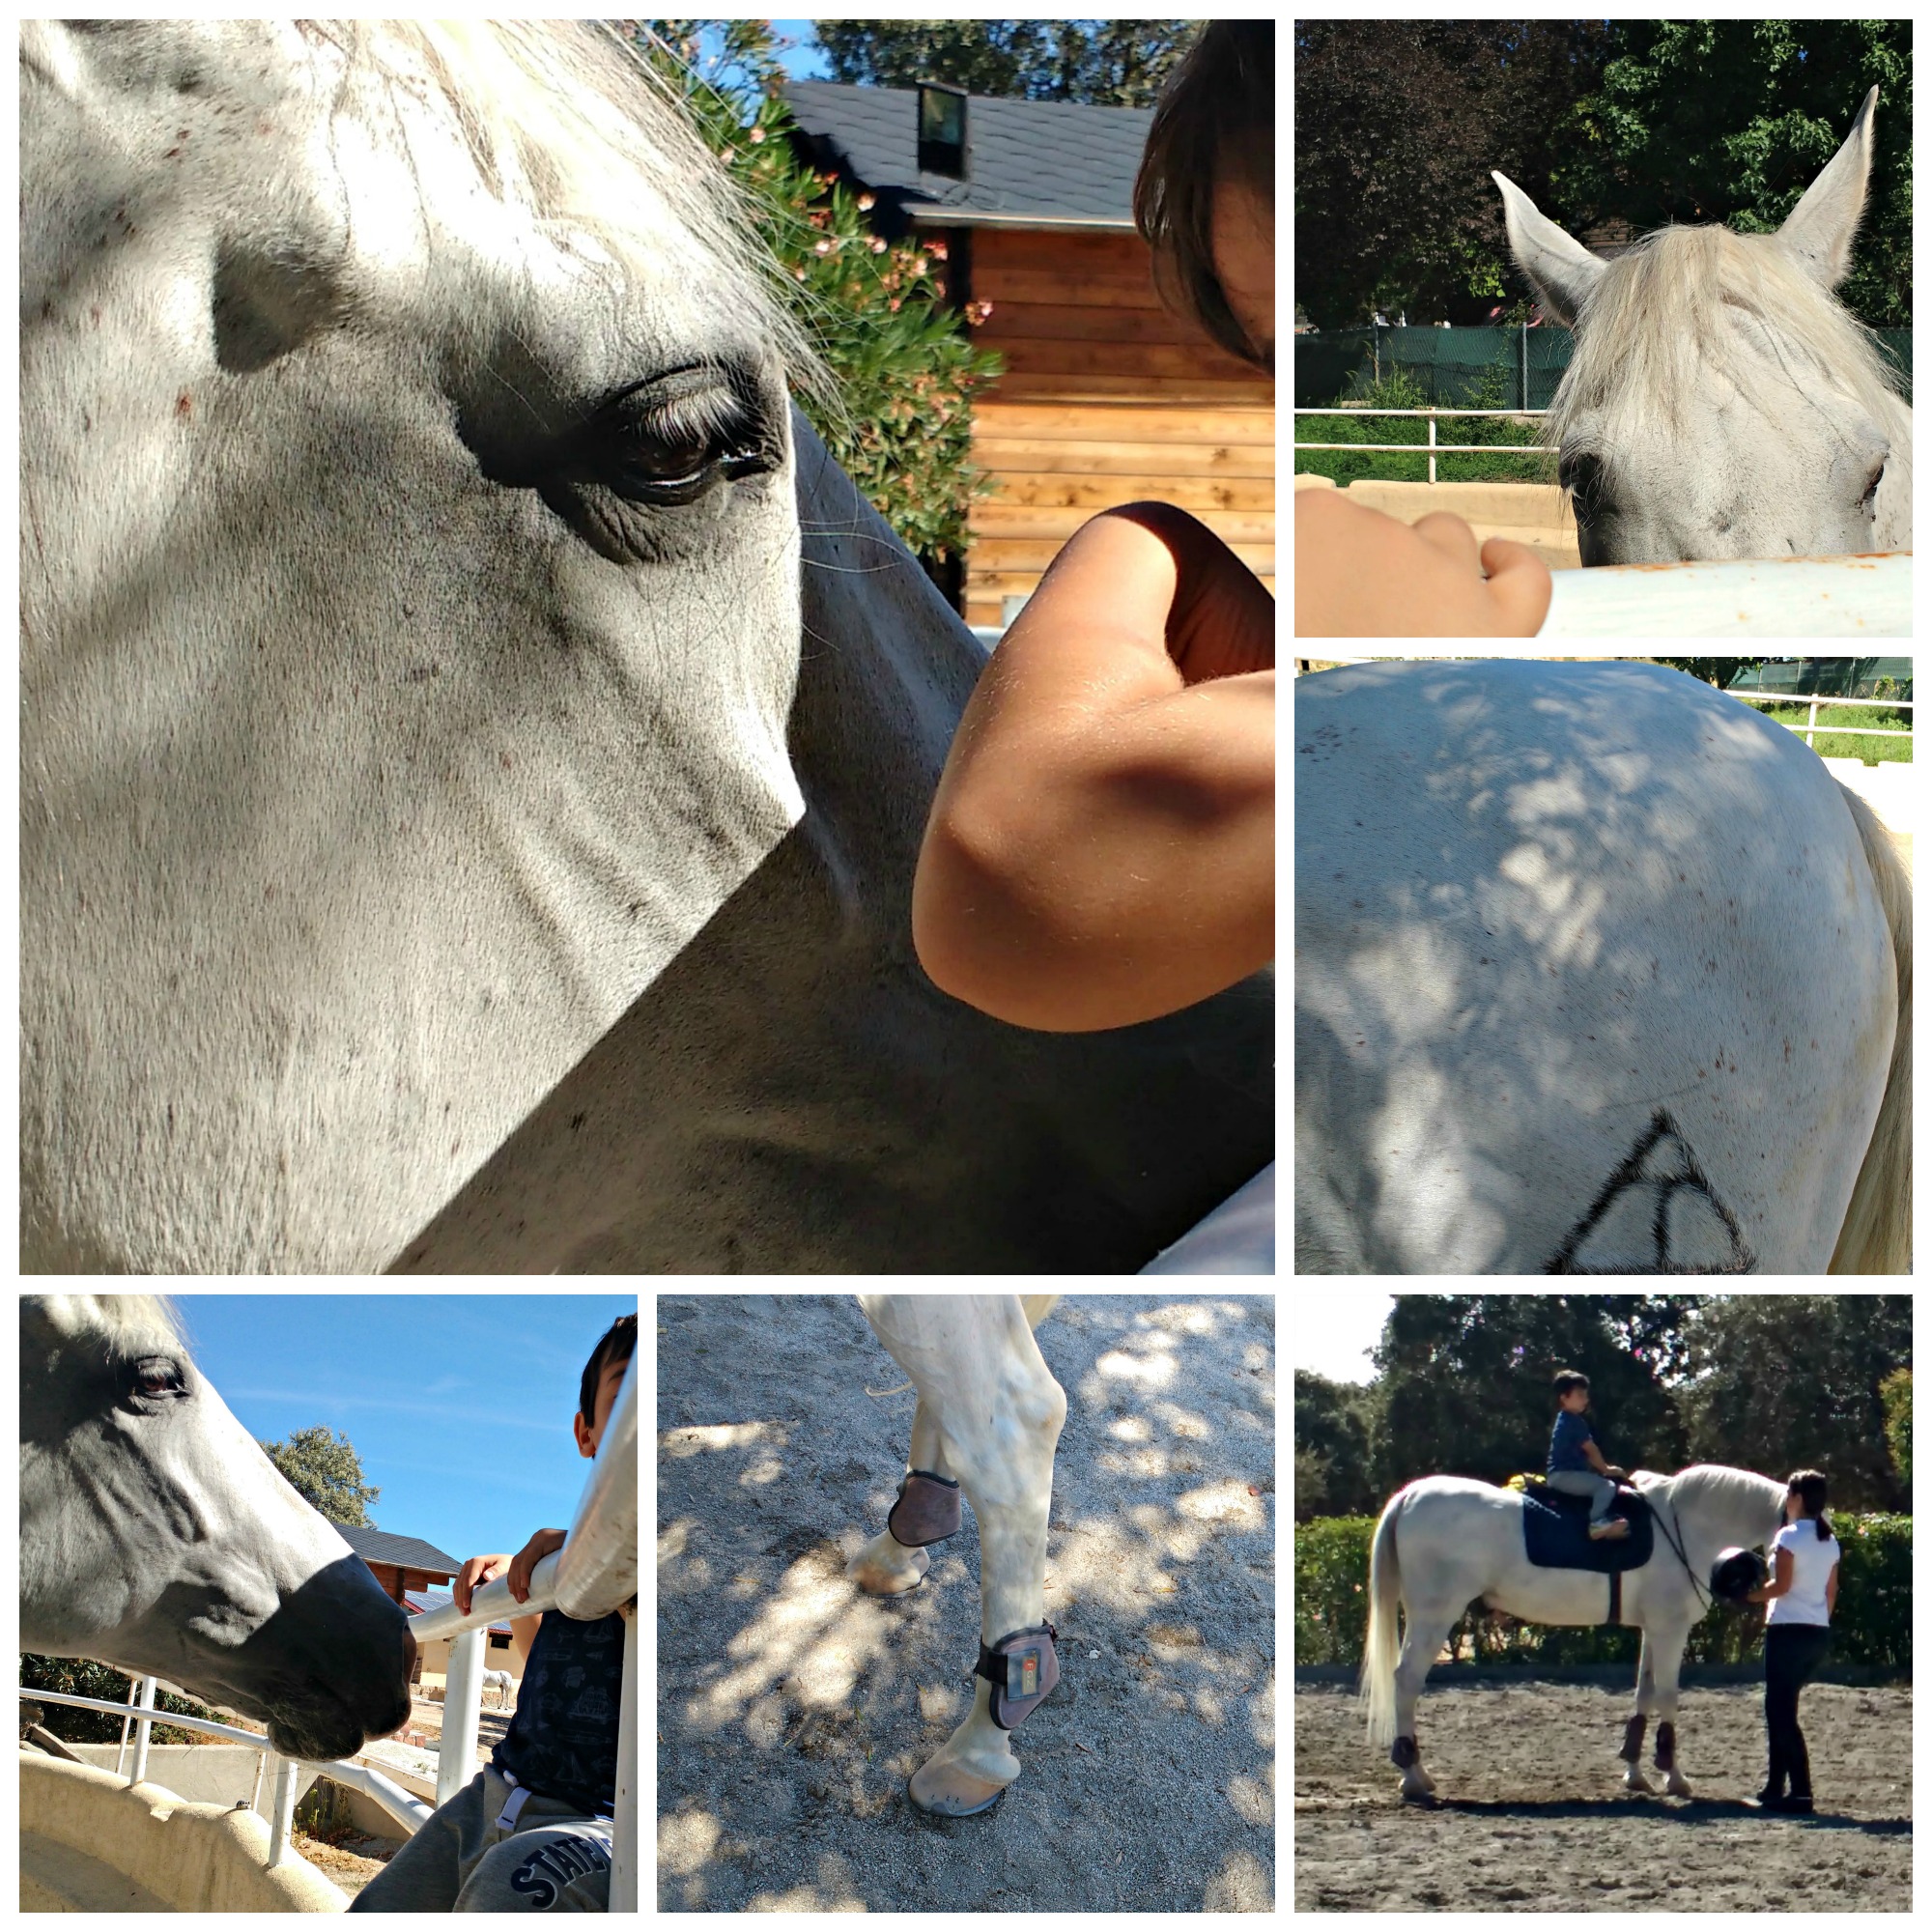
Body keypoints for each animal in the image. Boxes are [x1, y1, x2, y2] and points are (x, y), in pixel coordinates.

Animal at [1361, 1463, 1788, 1801]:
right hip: (1434, 1616)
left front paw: (1635, 1774)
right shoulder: (1670, 1630)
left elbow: (1644, 1694)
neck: (1684, 1524)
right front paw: (1674, 1776)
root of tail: (1412, 1495)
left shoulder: (1653, 1629)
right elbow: (1667, 1698)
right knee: (1407, 1681)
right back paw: (1412, 1776)